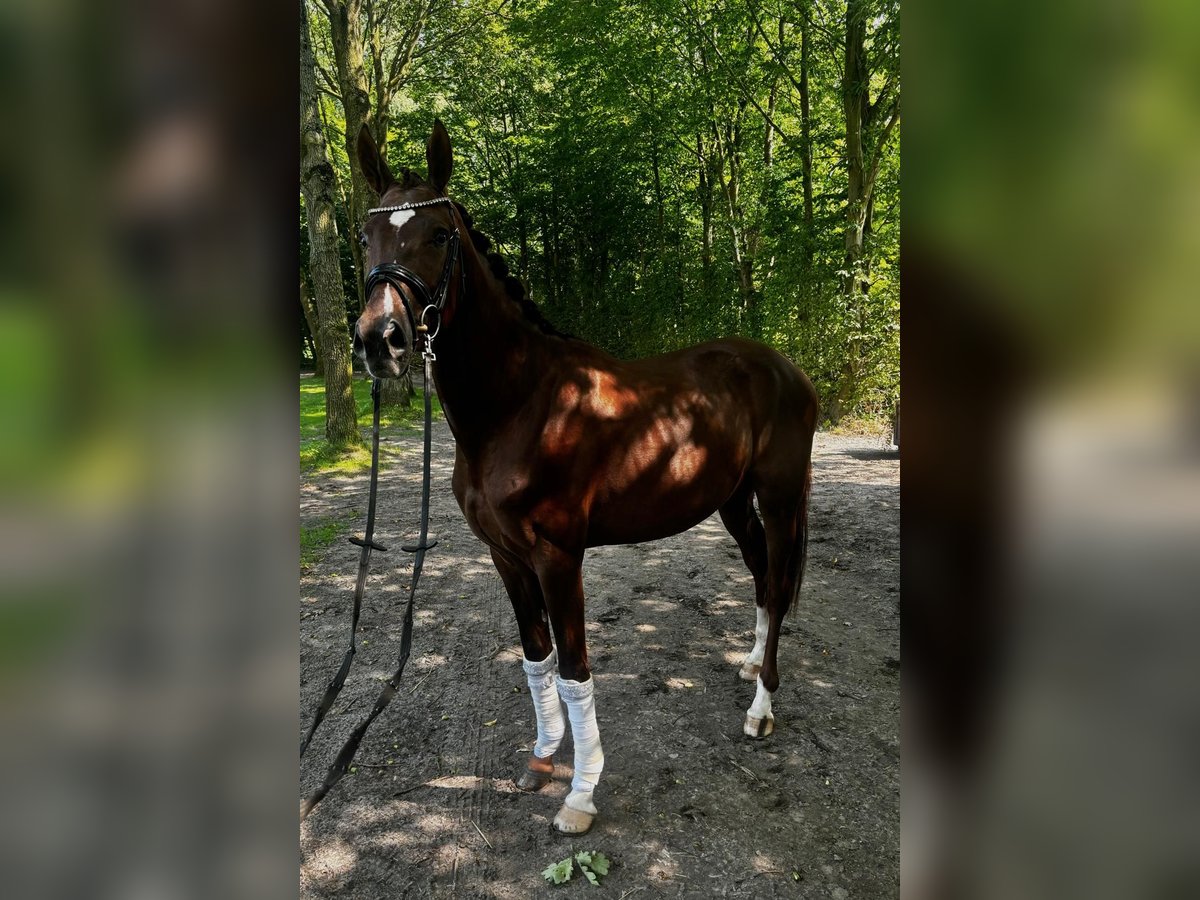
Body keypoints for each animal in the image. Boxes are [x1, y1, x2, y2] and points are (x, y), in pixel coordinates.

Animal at [352, 121, 816, 840]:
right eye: (365, 236)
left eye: (438, 234)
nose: (382, 340)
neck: (518, 405)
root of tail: (783, 369)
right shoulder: (506, 556)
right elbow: (536, 658)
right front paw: (543, 759)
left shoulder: (557, 556)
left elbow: (574, 671)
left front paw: (580, 795)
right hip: (735, 502)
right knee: (767, 581)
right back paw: (748, 669)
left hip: (782, 498)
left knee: (781, 580)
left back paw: (762, 707)